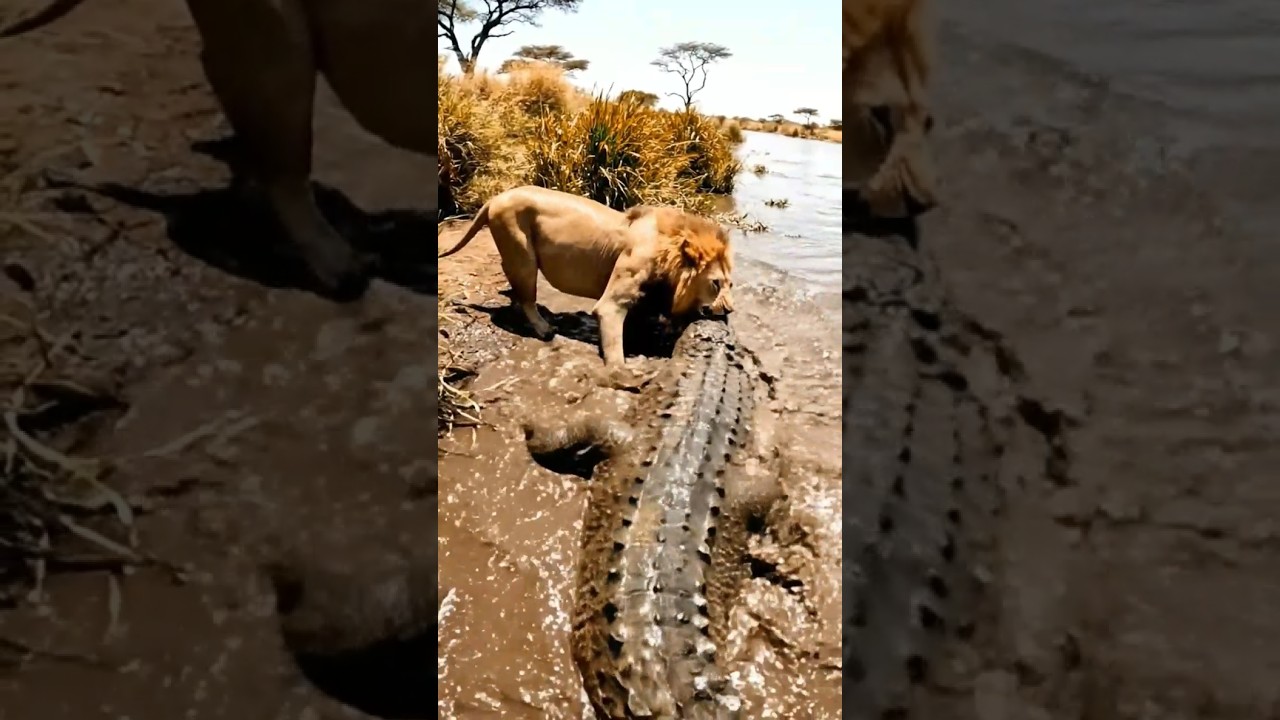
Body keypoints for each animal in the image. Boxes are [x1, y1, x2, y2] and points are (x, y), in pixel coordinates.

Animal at [438, 186, 734, 368]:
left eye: (731, 284)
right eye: (715, 283)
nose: (730, 309)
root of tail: (495, 198)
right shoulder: (615, 298)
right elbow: (614, 340)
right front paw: (621, 373)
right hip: (522, 254)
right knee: (528, 298)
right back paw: (544, 328)